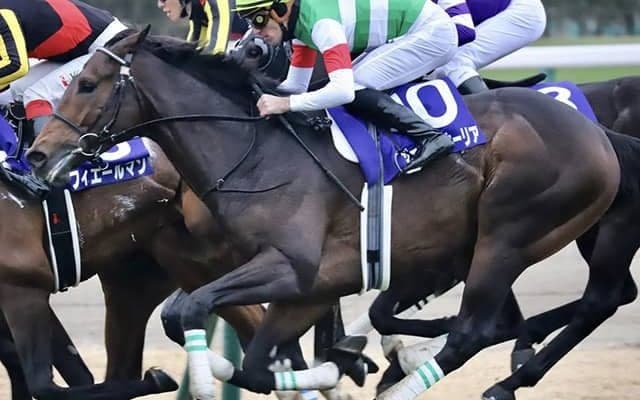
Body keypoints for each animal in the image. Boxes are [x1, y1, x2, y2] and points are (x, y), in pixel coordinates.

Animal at [26, 29, 620, 400]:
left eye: (86, 84)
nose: (37, 153)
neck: (258, 153)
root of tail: (598, 137)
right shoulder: (312, 285)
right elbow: (254, 364)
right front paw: (335, 367)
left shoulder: (292, 267)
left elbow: (195, 312)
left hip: (508, 233)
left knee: (475, 331)